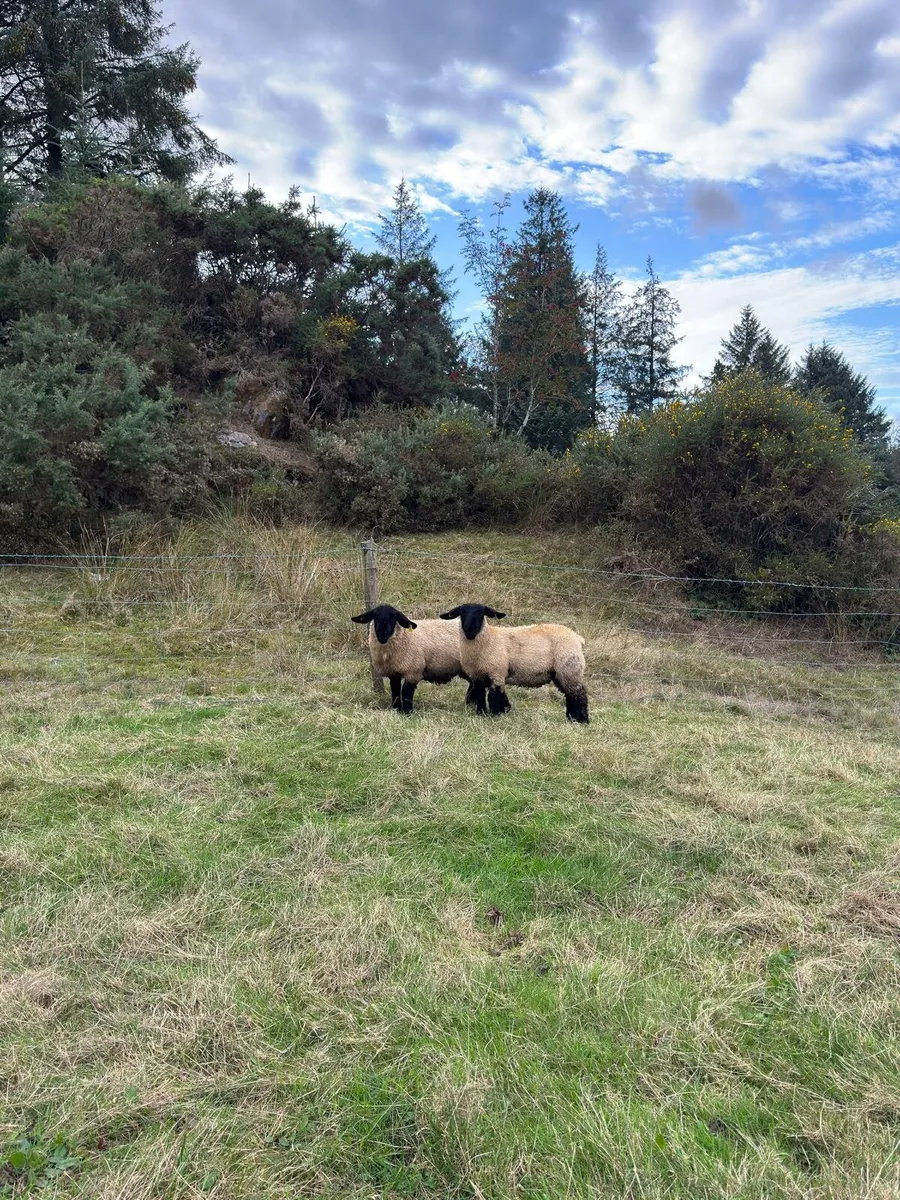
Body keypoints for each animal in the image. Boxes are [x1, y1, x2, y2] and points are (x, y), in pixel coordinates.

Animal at [439, 602, 589, 723]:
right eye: (462, 613)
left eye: (481, 613)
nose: (470, 631)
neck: (489, 638)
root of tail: (577, 638)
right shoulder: (477, 676)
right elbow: (480, 695)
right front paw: (481, 713)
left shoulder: (497, 672)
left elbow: (495, 696)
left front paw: (495, 715)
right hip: (561, 673)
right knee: (570, 695)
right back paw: (571, 719)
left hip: (569, 668)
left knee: (579, 694)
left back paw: (581, 721)